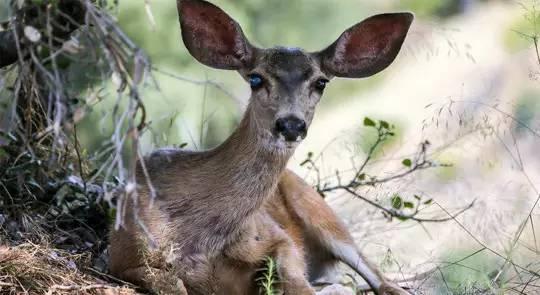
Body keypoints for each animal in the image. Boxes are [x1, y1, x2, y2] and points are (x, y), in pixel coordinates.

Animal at [108, 0, 414, 295]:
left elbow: (295, 280)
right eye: (256, 78)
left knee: (381, 280)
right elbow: (170, 283)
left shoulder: (277, 237)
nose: (291, 124)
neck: (200, 241)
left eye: (321, 82)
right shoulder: (123, 255)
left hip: (320, 210)